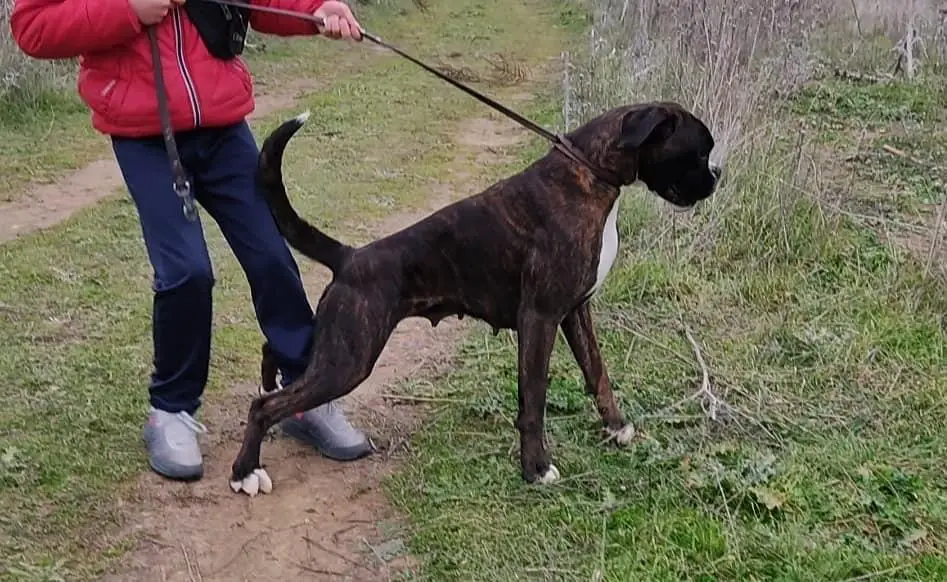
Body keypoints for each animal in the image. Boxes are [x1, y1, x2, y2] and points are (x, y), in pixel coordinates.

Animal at [233, 102, 724, 496]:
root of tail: (351, 257)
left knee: (274, 354)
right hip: (348, 360)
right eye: (699, 153)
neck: (589, 173)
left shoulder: (576, 312)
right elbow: (534, 398)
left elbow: (598, 374)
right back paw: (244, 472)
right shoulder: (540, 318)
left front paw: (617, 428)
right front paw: (535, 468)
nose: (717, 176)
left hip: (336, 348)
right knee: (263, 408)